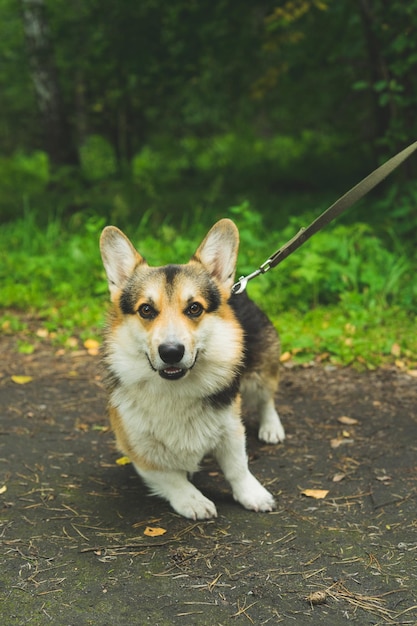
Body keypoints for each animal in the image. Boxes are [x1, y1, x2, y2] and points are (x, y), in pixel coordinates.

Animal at [99, 217, 284, 520]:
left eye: (195, 308)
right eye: (146, 310)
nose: (171, 352)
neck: (175, 389)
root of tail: (236, 289)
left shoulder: (231, 427)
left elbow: (238, 467)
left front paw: (253, 495)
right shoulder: (135, 446)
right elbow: (171, 477)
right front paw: (192, 500)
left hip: (260, 373)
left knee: (266, 399)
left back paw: (271, 428)